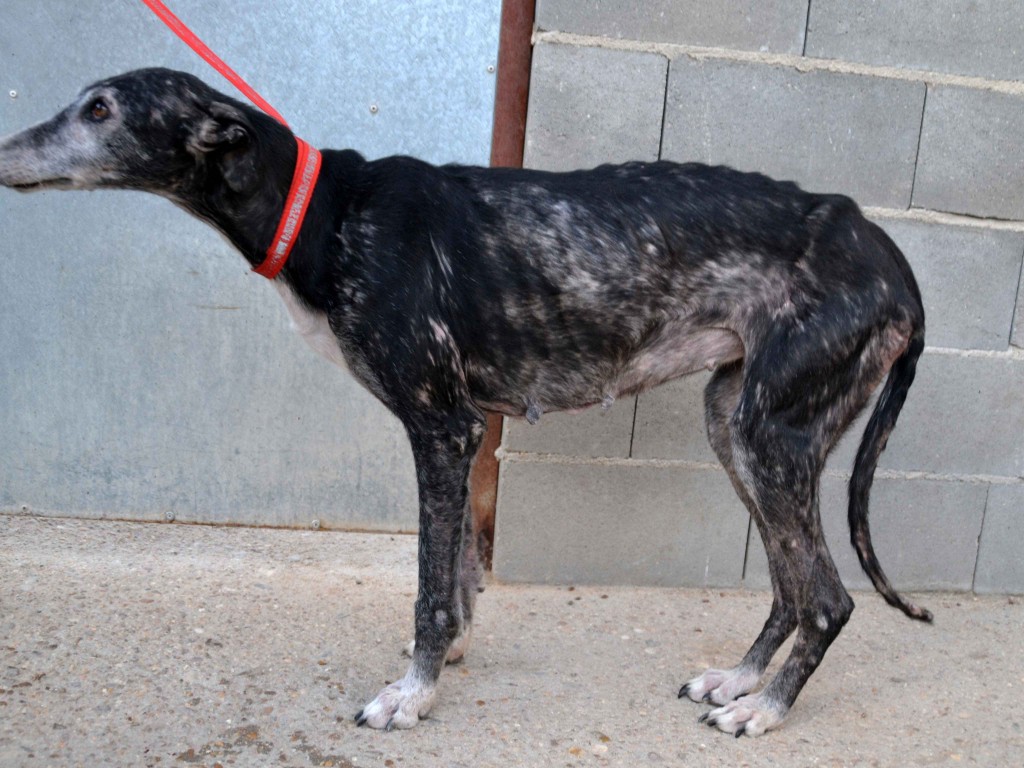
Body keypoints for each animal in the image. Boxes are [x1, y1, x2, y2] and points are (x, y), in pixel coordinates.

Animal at [0, 70, 933, 741]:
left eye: (99, 108)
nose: (2, 152)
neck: (326, 213)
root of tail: (892, 262)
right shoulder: (464, 431)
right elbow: (454, 579)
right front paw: (444, 658)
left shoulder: (440, 428)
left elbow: (428, 583)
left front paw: (412, 695)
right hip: (737, 424)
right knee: (789, 583)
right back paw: (739, 678)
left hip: (774, 435)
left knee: (829, 598)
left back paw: (763, 709)